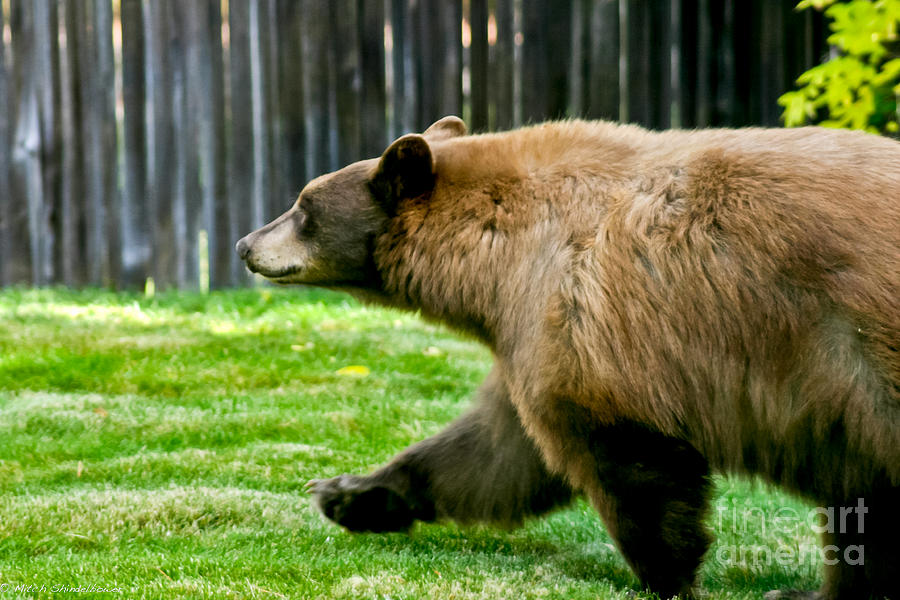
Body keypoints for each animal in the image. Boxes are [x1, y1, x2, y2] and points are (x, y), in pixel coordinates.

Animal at [237, 117, 900, 600]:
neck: (498, 250)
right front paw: (345, 492)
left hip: (854, 355)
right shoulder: (533, 331)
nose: (245, 244)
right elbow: (494, 449)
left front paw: (668, 576)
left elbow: (620, 458)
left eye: (303, 208)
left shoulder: (587, 322)